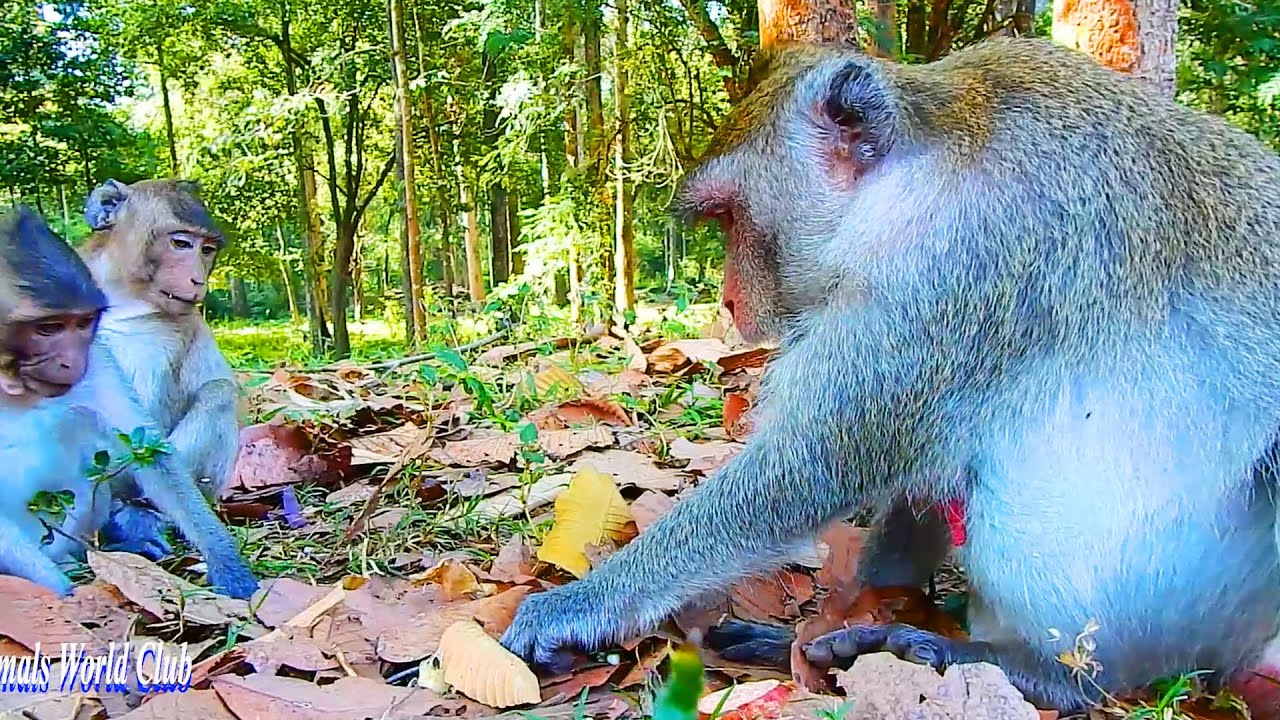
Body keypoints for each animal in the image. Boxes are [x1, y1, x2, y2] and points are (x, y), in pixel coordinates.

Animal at [500, 36, 1280, 715]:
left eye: (730, 218)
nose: (727, 298)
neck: (928, 168)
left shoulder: (954, 274)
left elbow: (812, 466)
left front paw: (576, 608)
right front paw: (838, 616)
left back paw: (1023, 672)